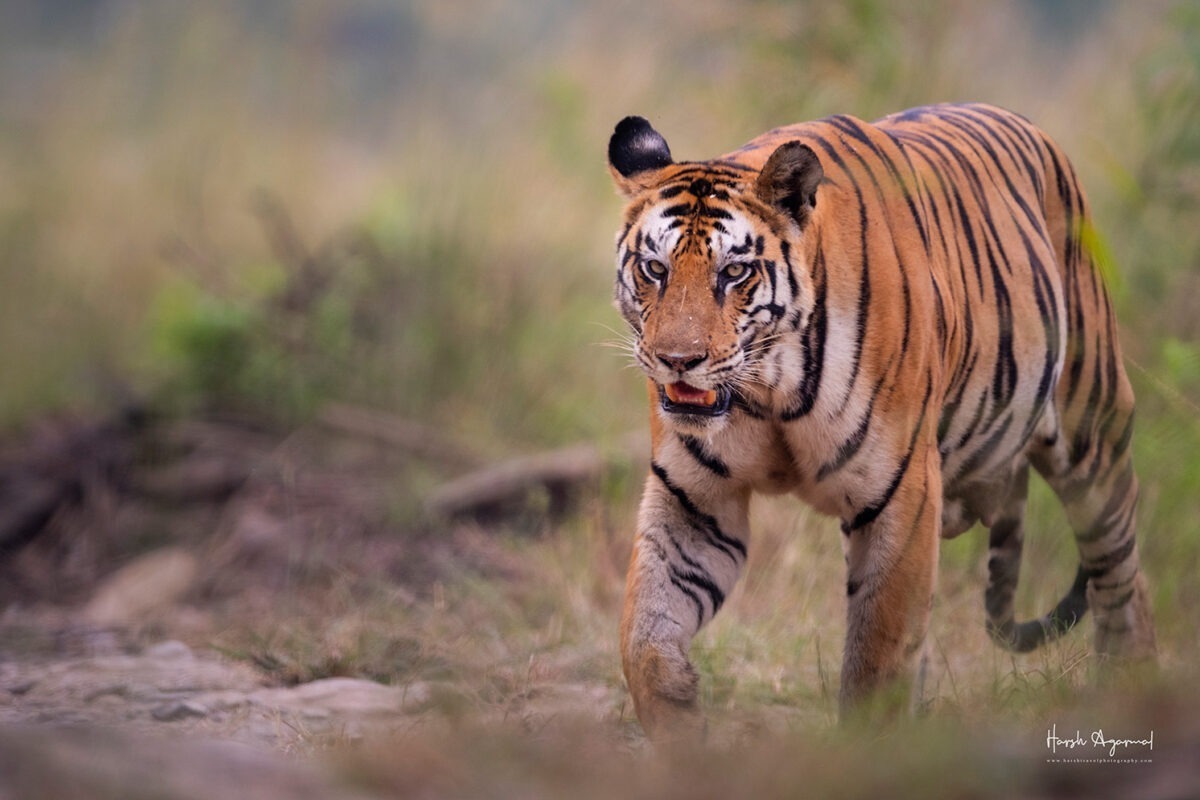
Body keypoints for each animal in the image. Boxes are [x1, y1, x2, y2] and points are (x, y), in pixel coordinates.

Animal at [607, 103, 1157, 743]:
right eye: (654, 268)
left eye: (735, 273)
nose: (677, 359)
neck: (769, 391)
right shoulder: (695, 498)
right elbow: (645, 637)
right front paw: (681, 726)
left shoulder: (901, 496)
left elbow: (877, 661)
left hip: (1094, 430)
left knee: (1122, 575)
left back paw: (1129, 689)